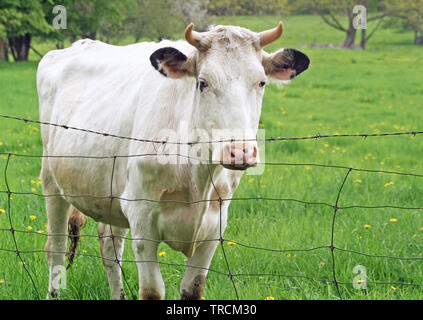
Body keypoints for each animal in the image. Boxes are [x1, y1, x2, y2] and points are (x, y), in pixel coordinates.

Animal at [37, 22, 312, 300]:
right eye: (202, 82)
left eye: (261, 82)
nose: (241, 151)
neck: (196, 175)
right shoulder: (142, 220)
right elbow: (151, 291)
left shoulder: (214, 225)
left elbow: (193, 289)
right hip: (51, 181)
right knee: (56, 248)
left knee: (109, 247)